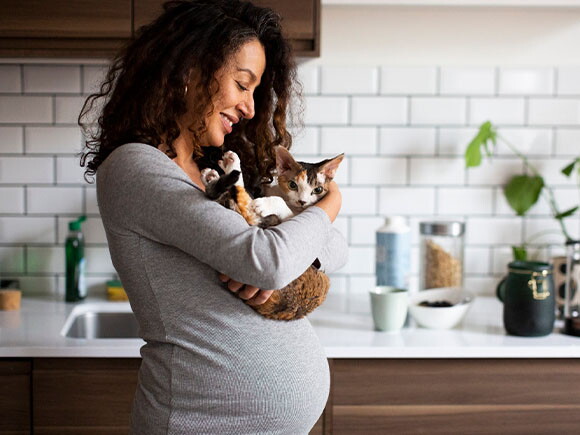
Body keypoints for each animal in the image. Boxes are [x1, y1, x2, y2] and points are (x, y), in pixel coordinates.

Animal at [199, 146, 344, 320]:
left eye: (318, 189)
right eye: (292, 185)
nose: (302, 201)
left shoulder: (294, 218)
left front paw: (265, 204)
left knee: (248, 210)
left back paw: (226, 170)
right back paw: (217, 174)